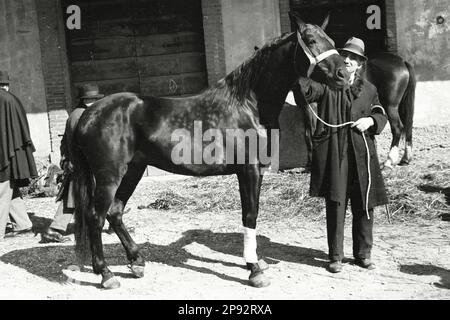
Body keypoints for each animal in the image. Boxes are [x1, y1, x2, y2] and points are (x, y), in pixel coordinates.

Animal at [72, 13, 350, 290]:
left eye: (331, 39)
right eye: (311, 40)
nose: (344, 74)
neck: (248, 105)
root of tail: (89, 113)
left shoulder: (256, 171)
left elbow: (251, 215)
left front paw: (255, 261)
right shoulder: (248, 170)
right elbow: (250, 215)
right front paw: (254, 270)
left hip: (133, 170)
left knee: (115, 212)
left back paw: (137, 260)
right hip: (110, 176)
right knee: (96, 217)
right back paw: (106, 274)